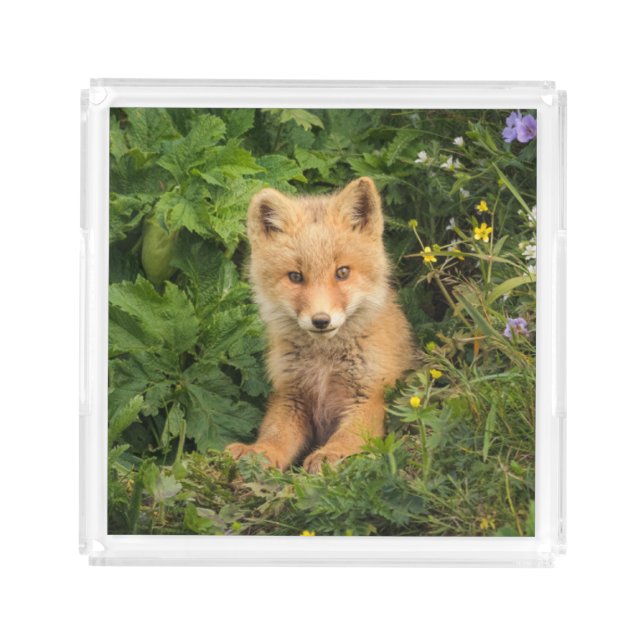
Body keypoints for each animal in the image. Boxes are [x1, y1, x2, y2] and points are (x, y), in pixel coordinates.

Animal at [226, 177, 416, 473]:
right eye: (295, 277)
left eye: (342, 272)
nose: (321, 320)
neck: (324, 364)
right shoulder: (291, 397)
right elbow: (275, 435)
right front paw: (258, 452)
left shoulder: (369, 395)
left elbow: (349, 436)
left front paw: (331, 454)